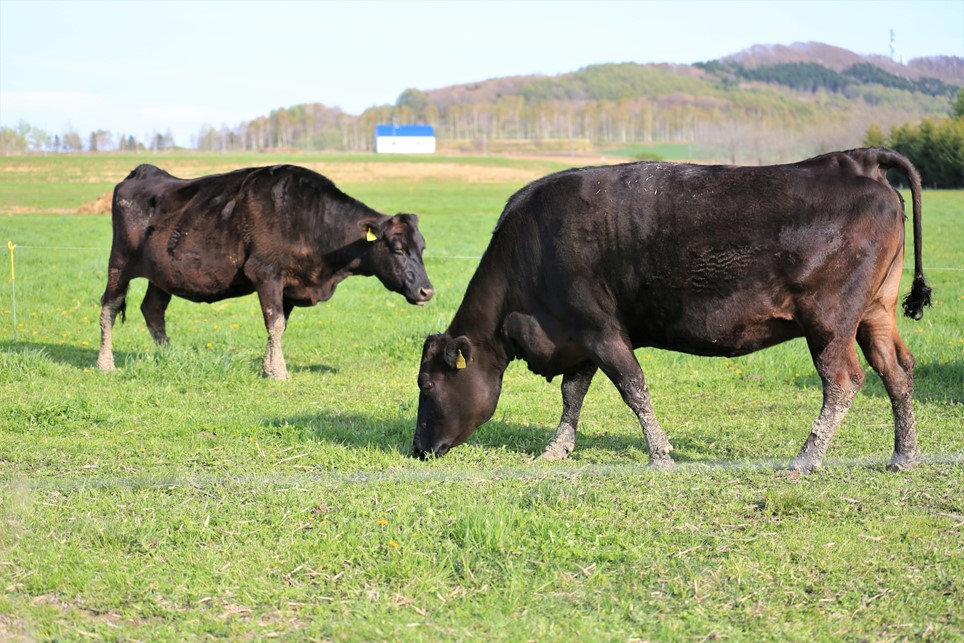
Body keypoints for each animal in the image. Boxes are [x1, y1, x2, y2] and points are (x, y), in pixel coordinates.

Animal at [97, 164, 434, 380]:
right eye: (397, 248)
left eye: (422, 247)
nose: (427, 291)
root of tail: (143, 171)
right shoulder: (266, 273)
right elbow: (275, 323)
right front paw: (279, 373)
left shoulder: (290, 286)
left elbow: (280, 327)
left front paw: (267, 368)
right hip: (119, 262)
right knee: (109, 307)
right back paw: (105, 363)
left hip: (162, 274)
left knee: (153, 309)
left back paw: (171, 355)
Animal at [412, 150, 928, 472]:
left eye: (427, 384)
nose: (417, 449)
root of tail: (855, 160)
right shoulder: (578, 335)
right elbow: (573, 392)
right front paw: (557, 450)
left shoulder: (600, 329)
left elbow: (632, 387)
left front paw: (660, 455)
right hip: (876, 313)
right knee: (897, 370)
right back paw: (904, 455)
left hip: (829, 322)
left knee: (844, 381)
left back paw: (807, 457)